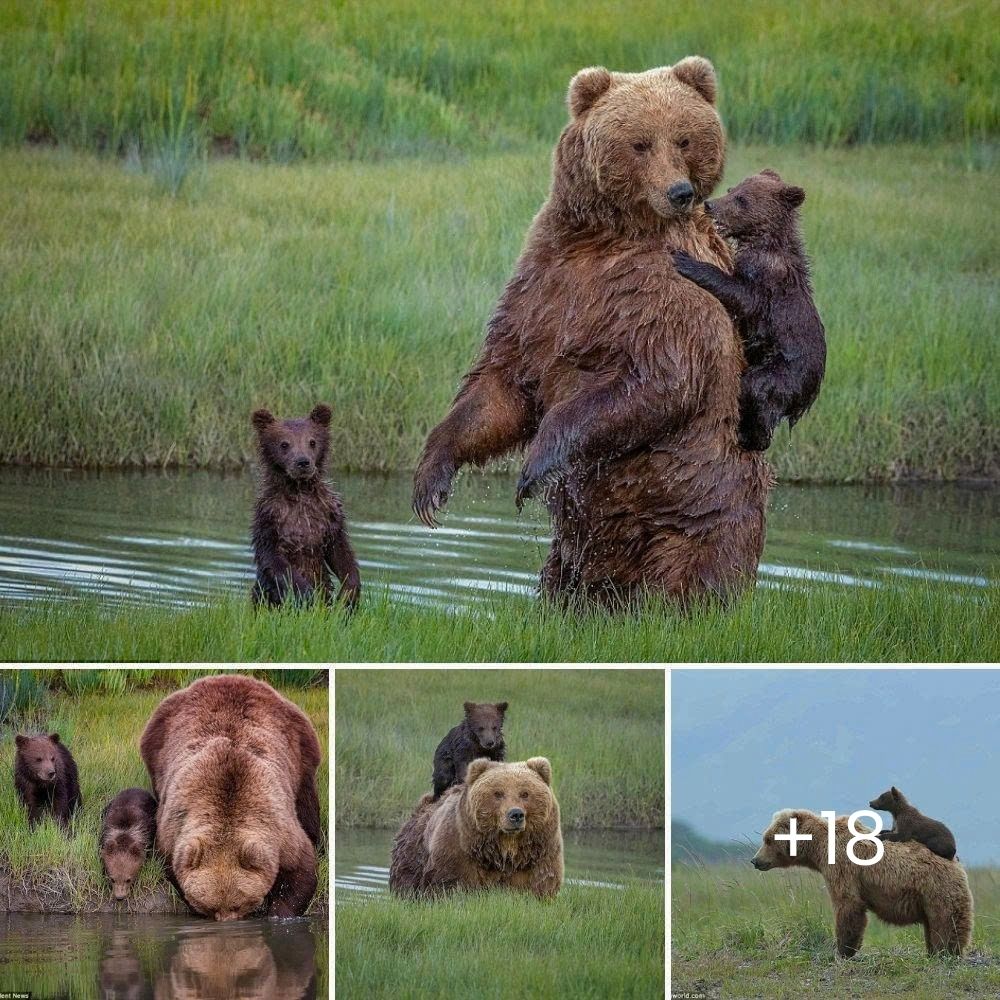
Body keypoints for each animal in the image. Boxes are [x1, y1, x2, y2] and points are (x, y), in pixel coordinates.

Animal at [410, 60, 768, 608]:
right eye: (640, 142)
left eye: (683, 138)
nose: (679, 192)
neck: (608, 237)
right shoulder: (544, 284)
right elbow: (503, 384)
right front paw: (432, 481)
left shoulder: (670, 292)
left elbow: (660, 381)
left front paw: (534, 465)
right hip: (578, 549)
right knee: (568, 578)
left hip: (699, 509)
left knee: (693, 573)